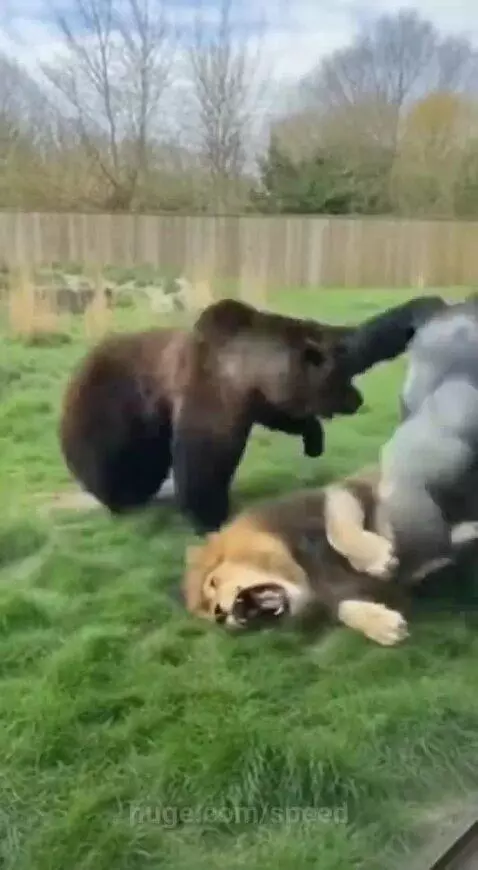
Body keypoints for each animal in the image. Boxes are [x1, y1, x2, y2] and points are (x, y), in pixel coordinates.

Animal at [59, 295, 445, 535]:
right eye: (343, 372)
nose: (357, 399)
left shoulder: (257, 399)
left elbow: (284, 416)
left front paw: (313, 440)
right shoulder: (210, 391)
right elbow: (202, 461)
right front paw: (209, 516)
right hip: (111, 413)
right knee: (113, 462)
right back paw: (122, 496)